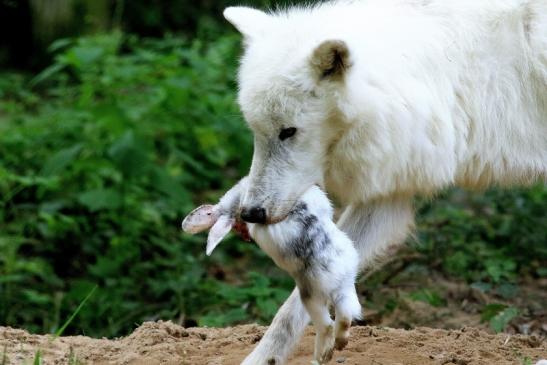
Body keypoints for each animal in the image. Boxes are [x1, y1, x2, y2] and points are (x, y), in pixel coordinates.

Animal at [222, 0, 544, 362]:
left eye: (288, 131)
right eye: (256, 131)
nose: (251, 213)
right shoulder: (387, 189)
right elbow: (297, 301)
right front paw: (266, 357)